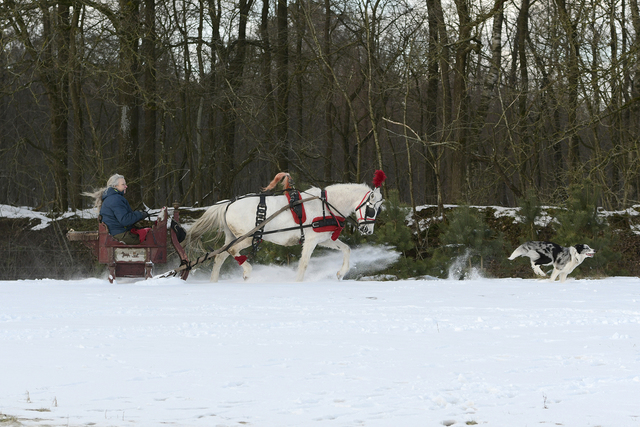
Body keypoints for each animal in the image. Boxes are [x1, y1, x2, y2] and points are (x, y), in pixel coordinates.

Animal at [185, 172, 384, 282]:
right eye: (371, 209)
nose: (368, 230)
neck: (325, 205)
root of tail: (228, 204)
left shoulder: (324, 239)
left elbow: (347, 249)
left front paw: (341, 273)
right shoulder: (311, 240)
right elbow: (304, 264)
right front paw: (297, 283)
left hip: (232, 236)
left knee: (220, 257)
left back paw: (214, 282)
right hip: (247, 237)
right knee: (232, 251)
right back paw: (247, 271)